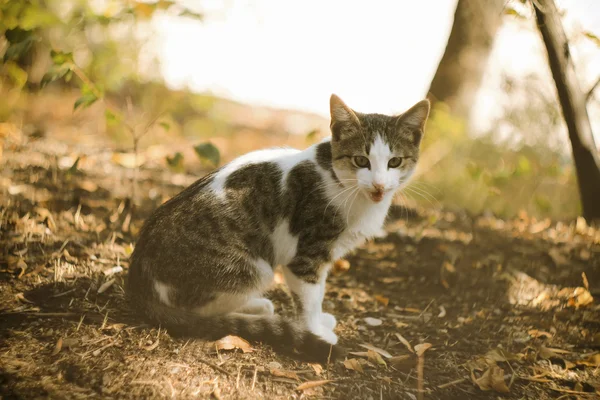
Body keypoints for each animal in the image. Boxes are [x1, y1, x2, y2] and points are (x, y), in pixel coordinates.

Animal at [126, 94, 428, 362]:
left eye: (395, 162)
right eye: (361, 160)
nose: (378, 185)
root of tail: (138, 278)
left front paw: (319, 323)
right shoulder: (306, 254)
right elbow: (310, 297)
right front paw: (315, 331)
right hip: (252, 268)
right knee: (198, 310)